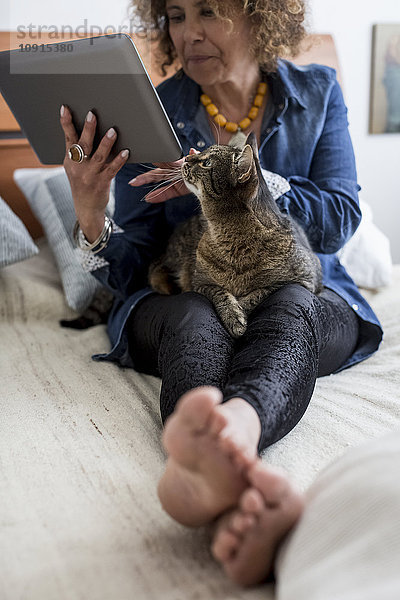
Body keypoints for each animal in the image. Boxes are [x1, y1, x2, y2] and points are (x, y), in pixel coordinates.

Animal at [148, 132, 324, 338]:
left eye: (207, 163)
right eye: (202, 152)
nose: (186, 158)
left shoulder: (304, 280)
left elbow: (261, 293)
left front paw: (242, 309)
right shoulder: (199, 282)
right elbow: (219, 293)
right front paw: (233, 315)